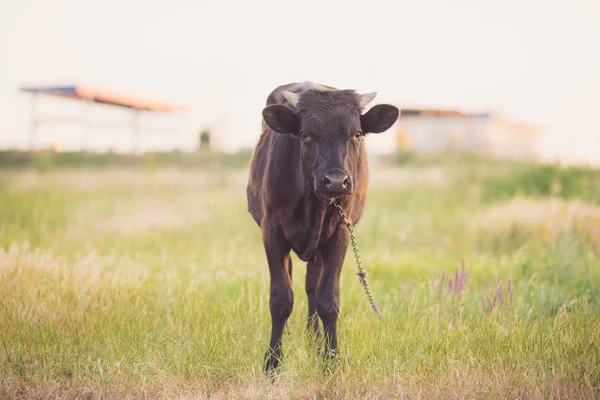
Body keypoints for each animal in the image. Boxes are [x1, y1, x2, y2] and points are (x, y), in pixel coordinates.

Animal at [244, 81, 398, 372]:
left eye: (356, 134)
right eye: (305, 134)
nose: (336, 181)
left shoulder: (340, 234)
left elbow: (328, 299)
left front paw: (331, 360)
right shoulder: (272, 232)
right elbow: (281, 298)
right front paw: (273, 362)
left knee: (312, 288)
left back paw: (313, 339)